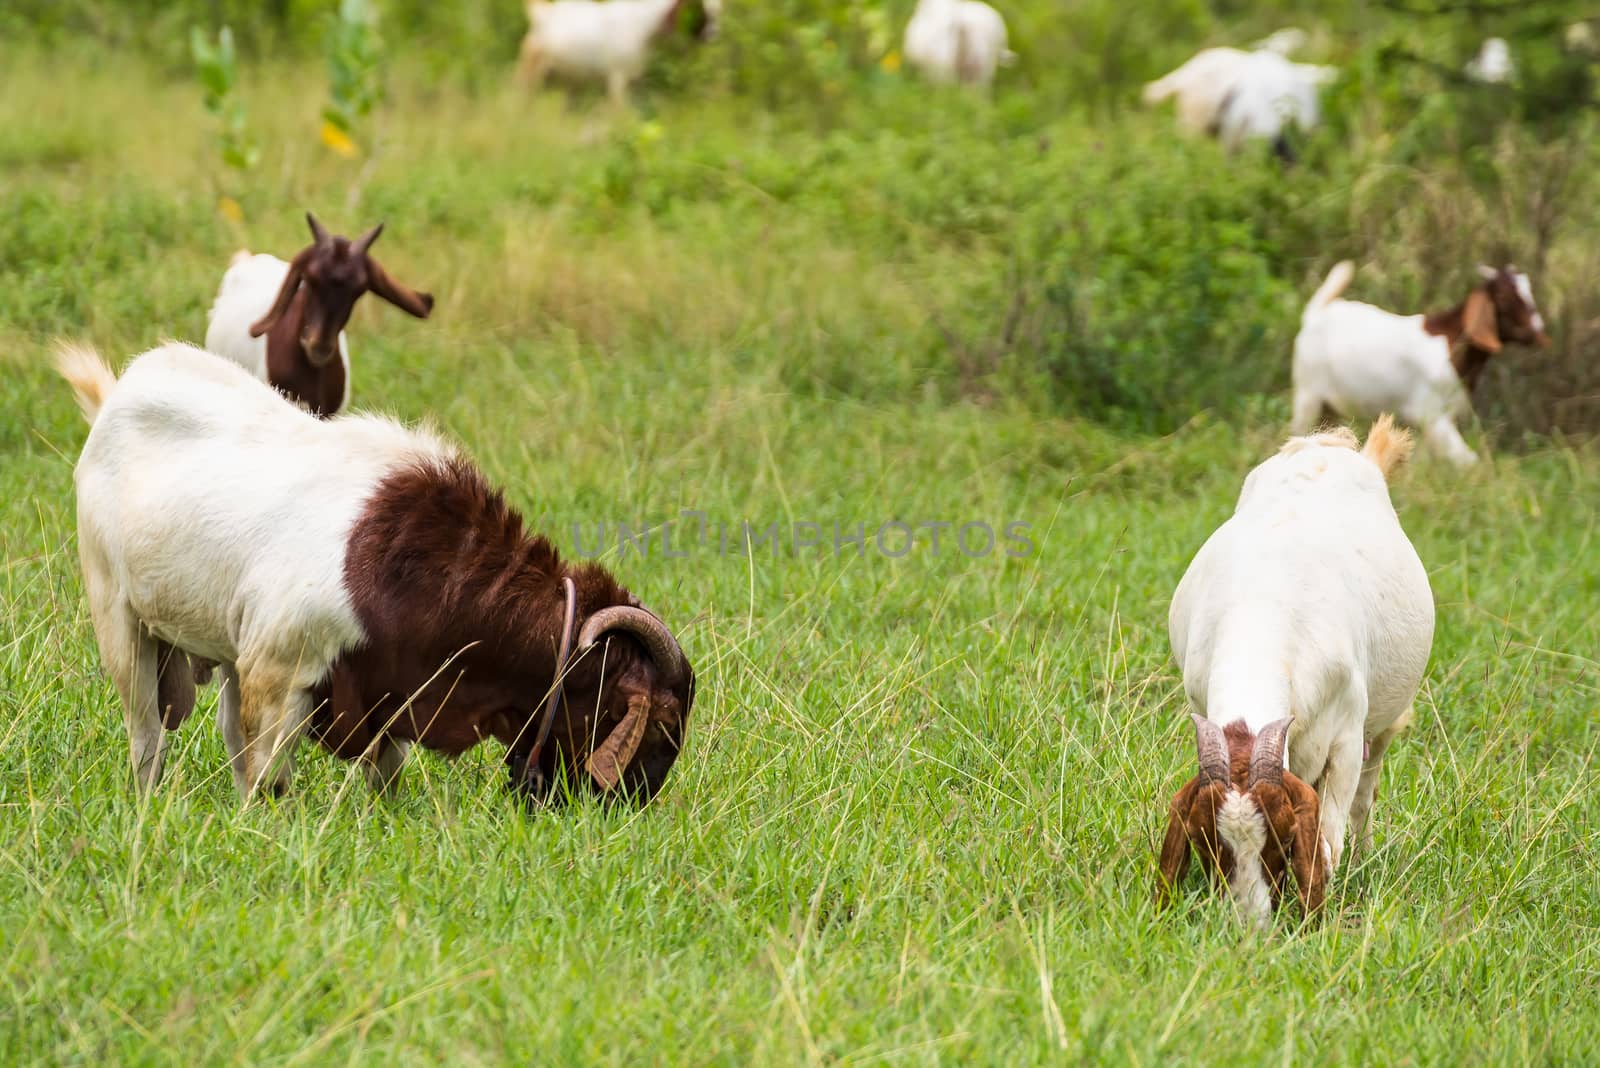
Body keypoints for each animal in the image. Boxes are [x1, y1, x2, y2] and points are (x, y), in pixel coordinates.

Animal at [54, 337, 694, 805]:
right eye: (660, 724)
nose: (629, 808)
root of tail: (116, 394)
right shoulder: (279, 668)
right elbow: (268, 775)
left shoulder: (391, 691)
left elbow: (382, 777)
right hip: (119, 617)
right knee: (147, 736)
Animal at [515, 0, 723, 107]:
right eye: (700, 10)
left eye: (717, 12)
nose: (714, 35)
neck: (645, 26)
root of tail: (542, 13)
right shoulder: (617, 79)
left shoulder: (635, 80)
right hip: (530, 72)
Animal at [1158, 415, 1433, 927]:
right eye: (1207, 841)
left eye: (1282, 837)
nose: (1248, 925)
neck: (1261, 615)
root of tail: (1331, 446)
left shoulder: (1346, 740)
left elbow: (1329, 842)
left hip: (1384, 722)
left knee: (1365, 797)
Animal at [1286, 260, 1548, 463]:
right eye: (1503, 296)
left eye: (1528, 290)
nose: (1537, 330)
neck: (1452, 344)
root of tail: (1316, 314)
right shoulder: (1431, 414)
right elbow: (1468, 461)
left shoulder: (1428, 424)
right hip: (1308, 394)